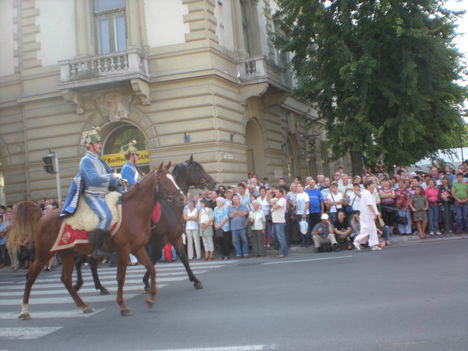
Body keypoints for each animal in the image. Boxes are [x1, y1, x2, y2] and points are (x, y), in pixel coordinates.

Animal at [16, 164, 181, 320]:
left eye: (173, 178)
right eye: (165, 180)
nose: (181, 197)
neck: (134, 212)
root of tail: (43, 217)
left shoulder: (138, 248)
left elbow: (152, 269)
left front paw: (151, 298)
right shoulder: (124, 250)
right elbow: (121, 277)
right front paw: (122, 306)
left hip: (67, 253)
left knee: (66, 278)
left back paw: (83, 305)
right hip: (45, 253)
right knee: (30, 276)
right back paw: (24, 310)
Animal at [73, 157, 218, 294]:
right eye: (198, 169)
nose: (213, 183)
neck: (170, 207)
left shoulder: (175, 237)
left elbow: (183, 258)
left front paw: (195, 280)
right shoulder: (160, 240)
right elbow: (153, 259)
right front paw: (146, 282)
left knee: (89, 262)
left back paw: (98, 287)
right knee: (82, 261)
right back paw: (80, 284)